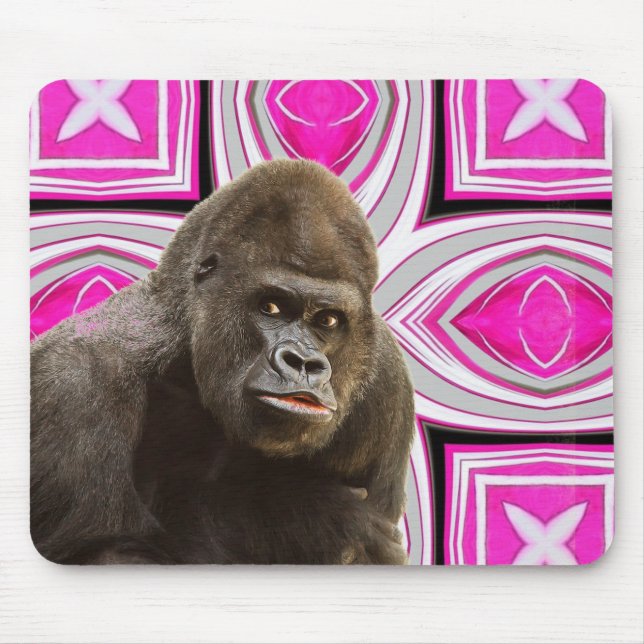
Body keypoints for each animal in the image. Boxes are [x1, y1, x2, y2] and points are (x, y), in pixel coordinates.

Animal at [30, 159, 415, 565]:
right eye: (270, 307)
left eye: (327, 320)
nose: (303, 363)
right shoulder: (75, 382)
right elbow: (106, 551)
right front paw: (311, 518)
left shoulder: (387, 380)